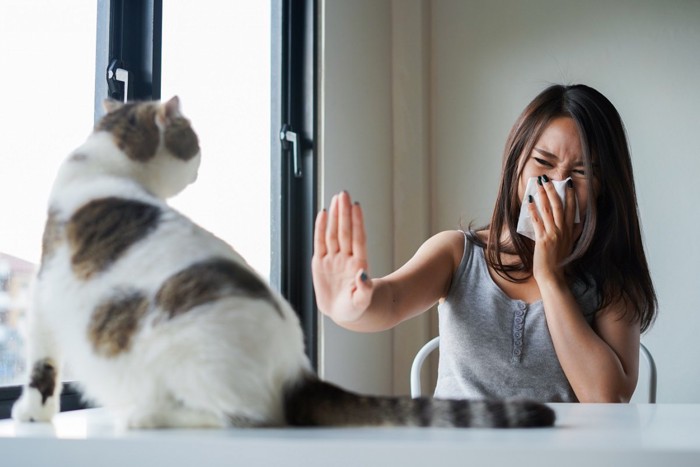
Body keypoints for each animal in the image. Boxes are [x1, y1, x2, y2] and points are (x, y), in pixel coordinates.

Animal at [10, 97, 556, 430]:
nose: (200, 164)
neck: (107, 164)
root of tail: (296, 372)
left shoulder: (44, 298)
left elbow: (41, 366)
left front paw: (30, 412)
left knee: (237, 417)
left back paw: (146, 416)